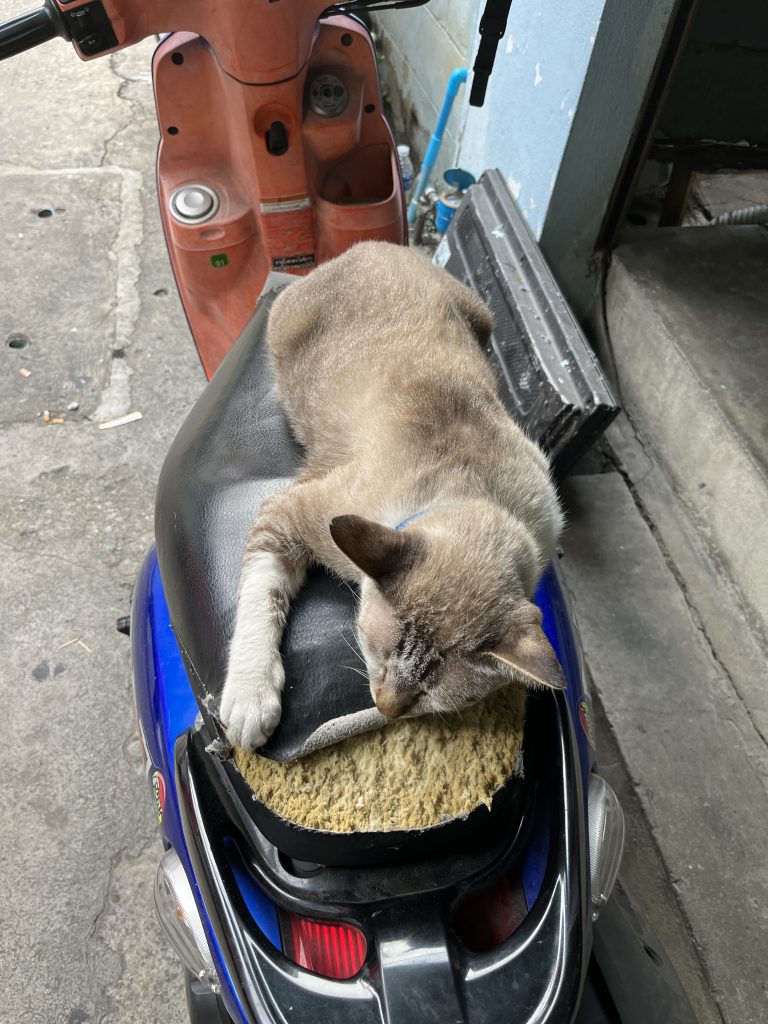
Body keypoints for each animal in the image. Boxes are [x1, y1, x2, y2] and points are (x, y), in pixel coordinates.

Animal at [221, 240, 565, 753]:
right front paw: (250, 701)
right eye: (378, 656)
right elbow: (262, 600)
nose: (385, 709)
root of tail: (373, 245)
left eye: (430, 696)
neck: (475, 490)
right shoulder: (287, 515)